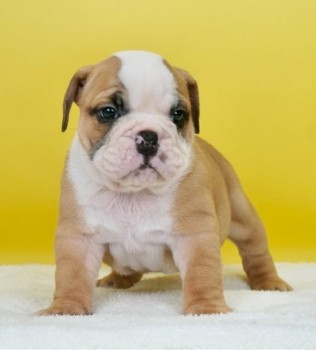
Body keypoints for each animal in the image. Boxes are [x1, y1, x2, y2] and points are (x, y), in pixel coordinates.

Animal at [39, 50, 292, 316]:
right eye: (107, 112)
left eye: (178, 114)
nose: (149, 137)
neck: (134, 193)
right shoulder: (79, 238)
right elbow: (72, 275)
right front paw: (66, 309)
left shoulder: (195, 236)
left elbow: (202, 274)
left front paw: (206, 309)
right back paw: (118, 279)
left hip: (244, 217)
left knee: (255, 252)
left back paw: (269, 283)